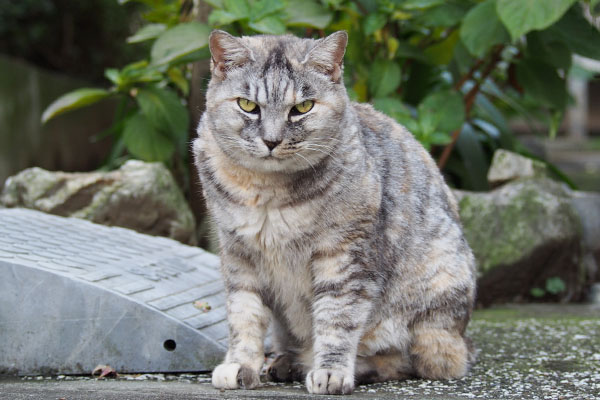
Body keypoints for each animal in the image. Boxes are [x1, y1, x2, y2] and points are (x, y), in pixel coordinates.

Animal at [195, 29, 476, 396]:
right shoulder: (239, 255)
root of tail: (463, 339)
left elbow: (337, 319)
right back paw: (286, 363)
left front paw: (330, 372)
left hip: (433, 301)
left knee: (416, 360)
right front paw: (241, 365)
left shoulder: (344, 255)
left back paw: (319, 365)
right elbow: (244, 316)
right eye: (248, 105)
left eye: (302, 107)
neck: (266, 192)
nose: (271, 140)